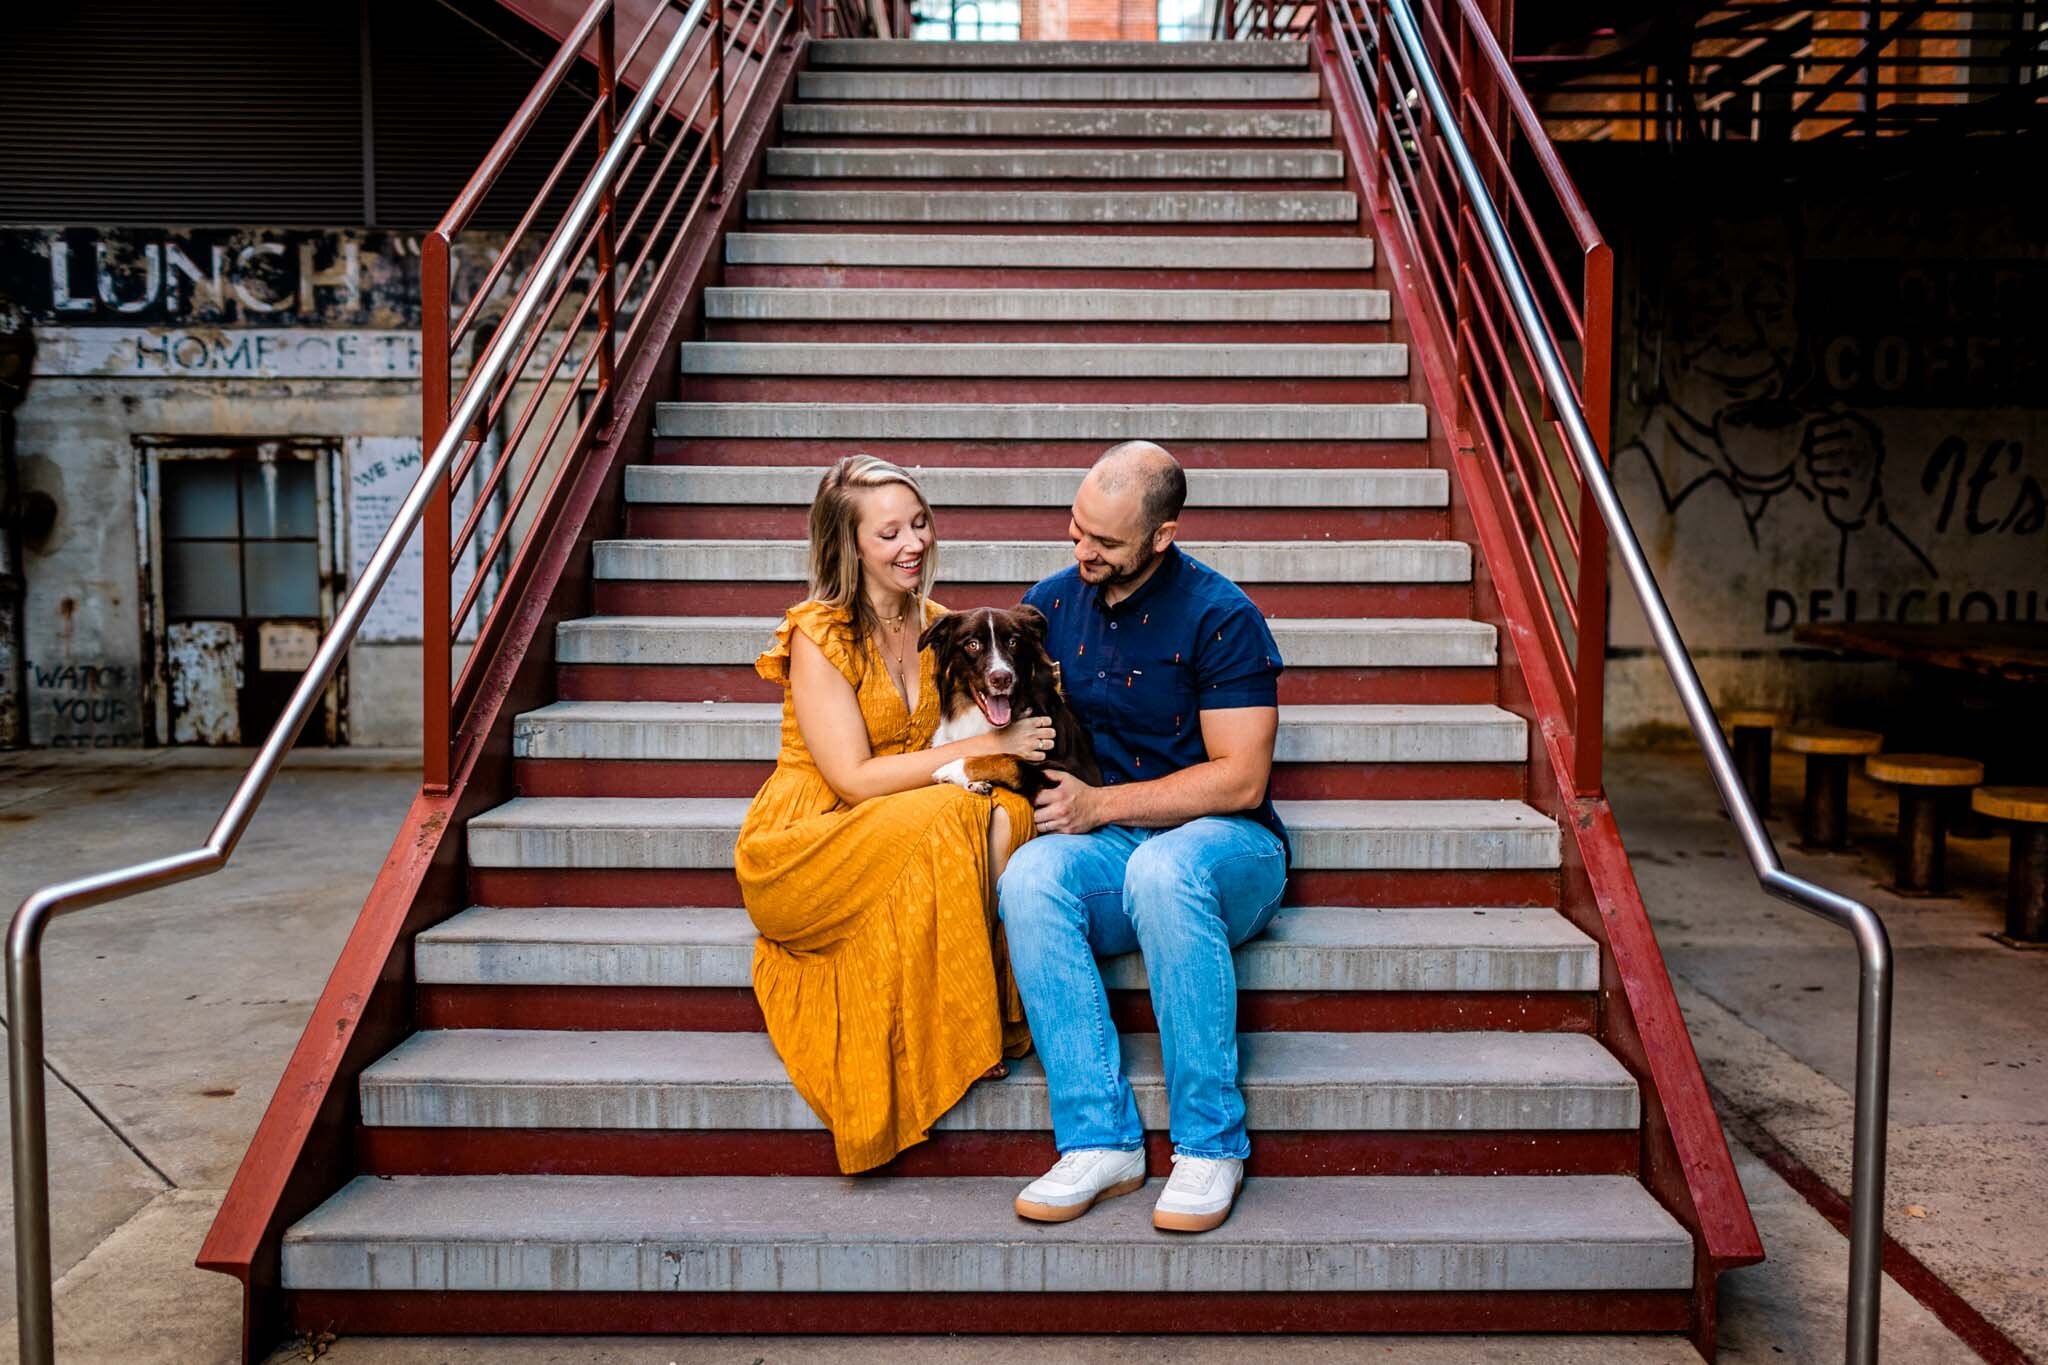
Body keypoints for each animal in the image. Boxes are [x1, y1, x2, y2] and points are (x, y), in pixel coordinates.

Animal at [921, 601, 1097, 794]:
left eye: (1013, 642)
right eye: (973, 645)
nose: (1001, 679)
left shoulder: (1067, 773)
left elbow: (1008, 760)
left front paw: (953, 768)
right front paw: (974, 782)